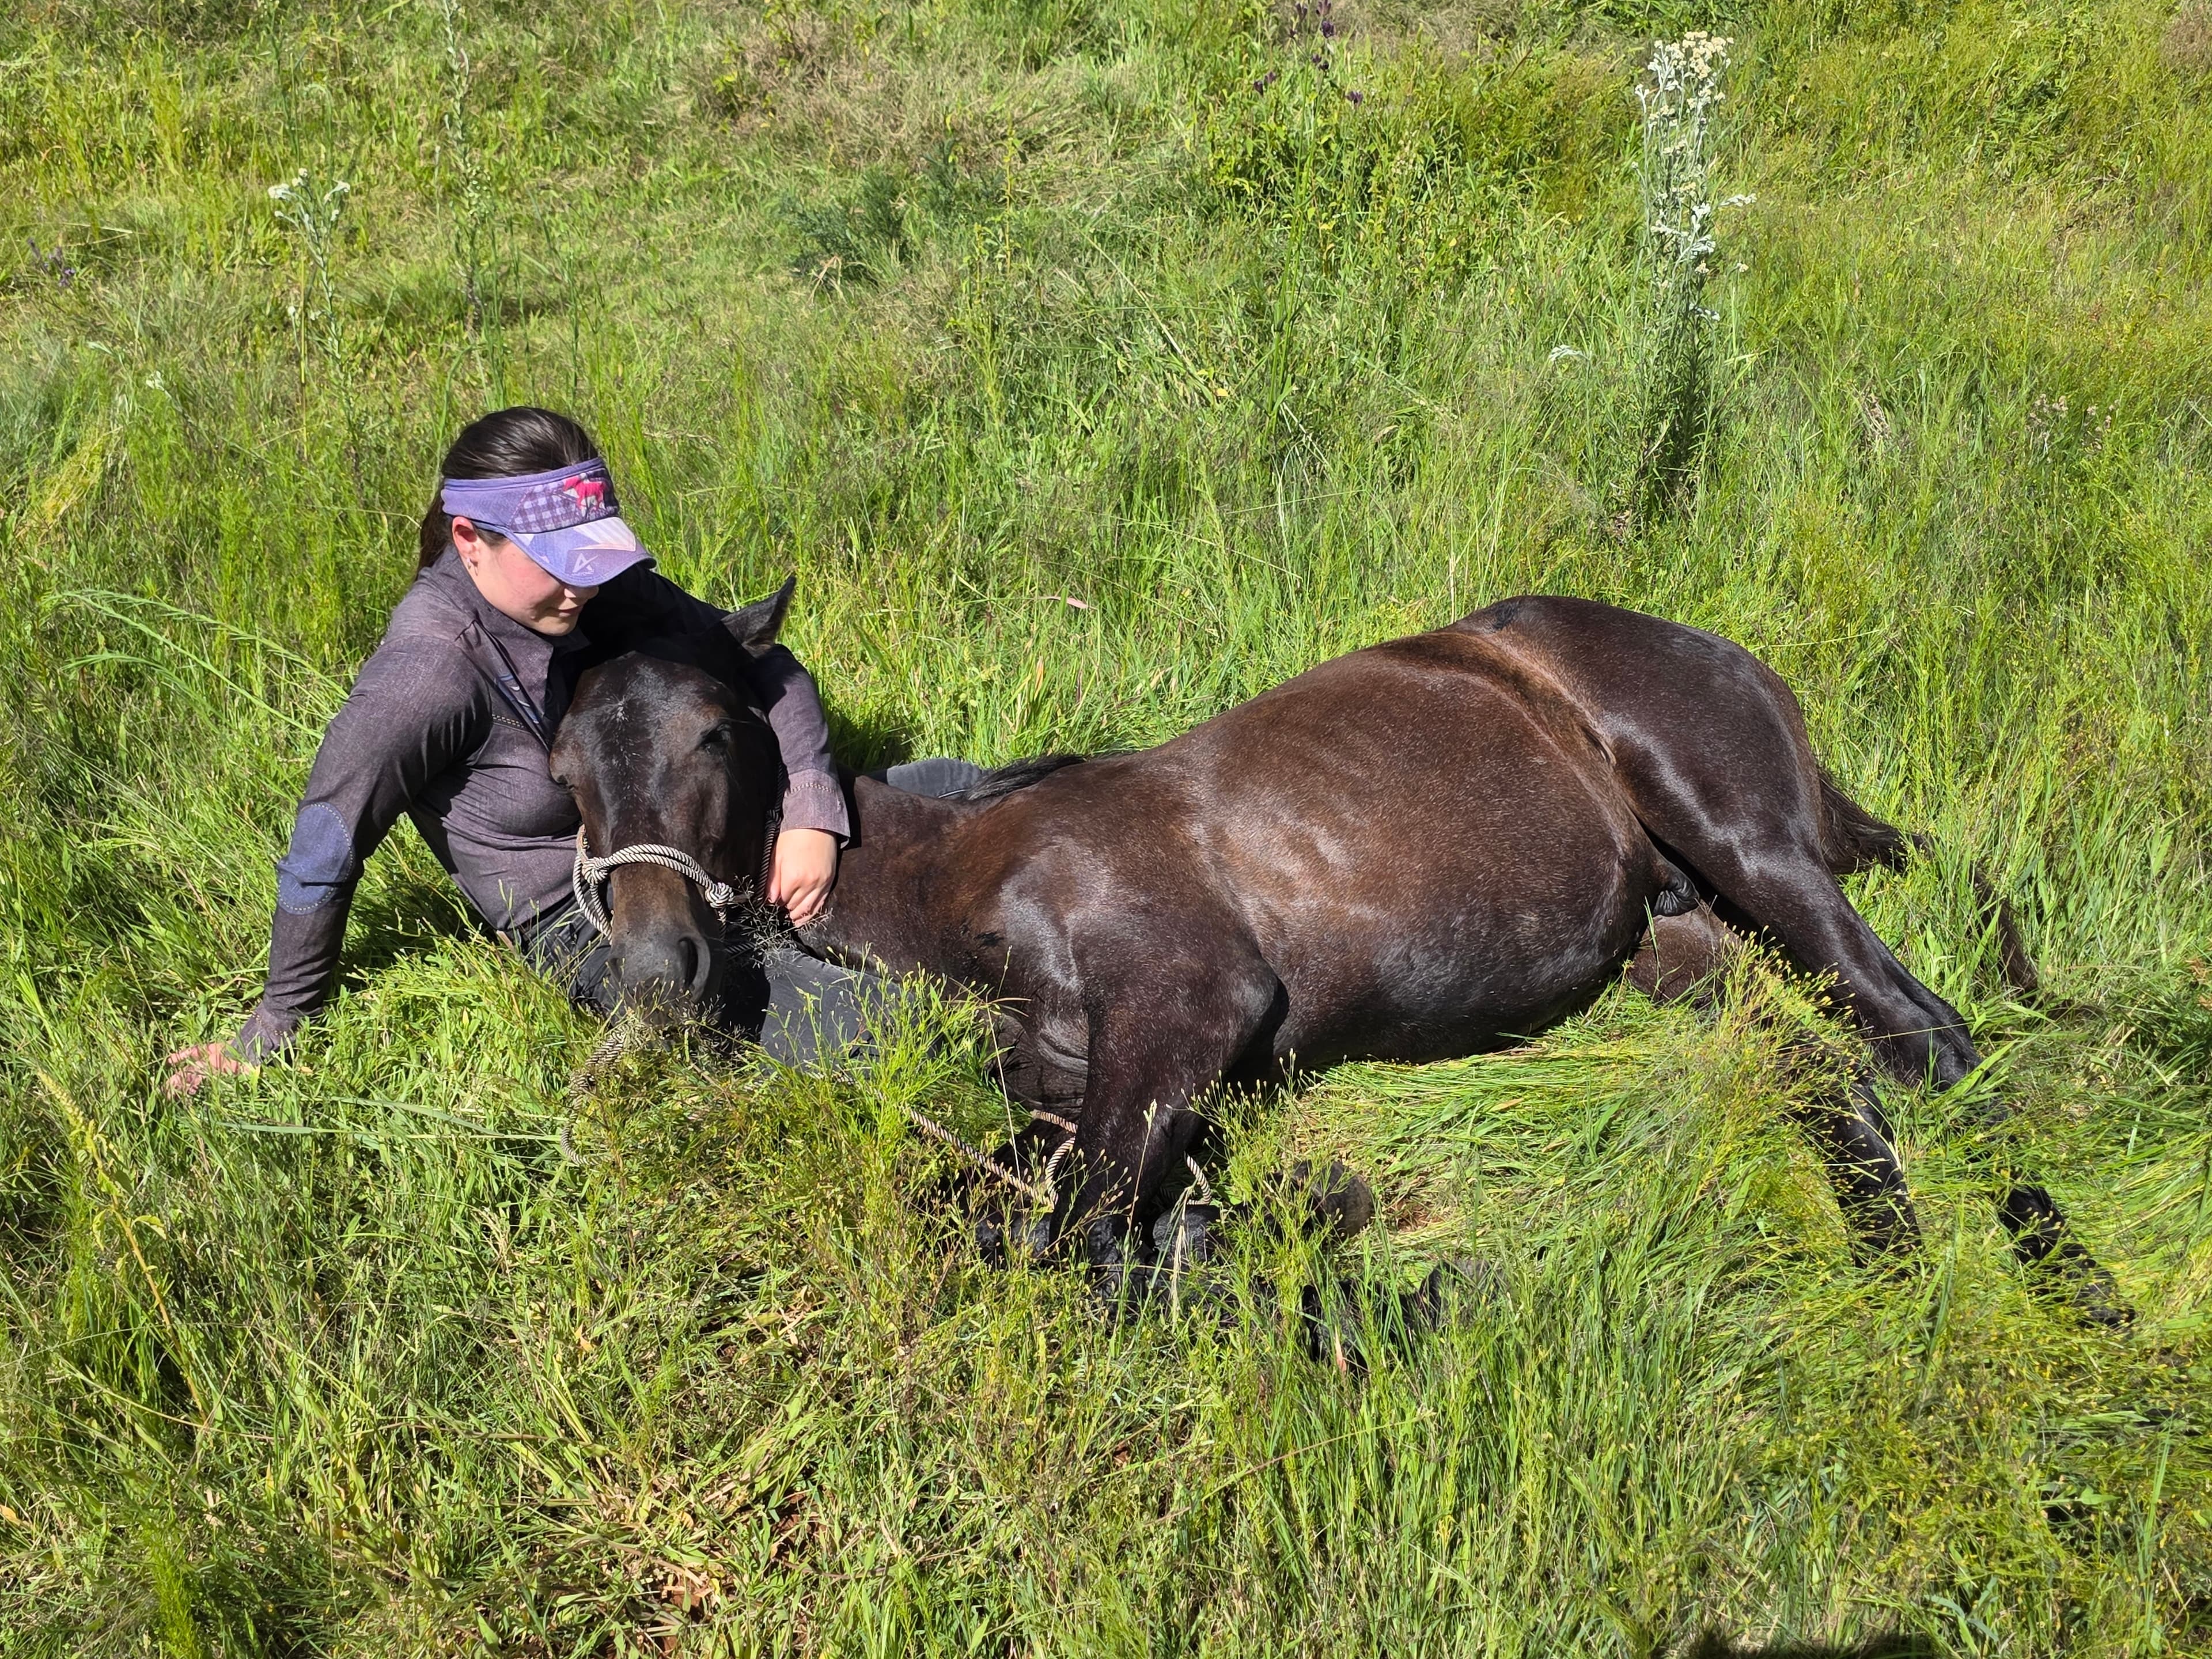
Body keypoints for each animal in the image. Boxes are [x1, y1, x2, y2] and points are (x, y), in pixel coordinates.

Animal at [547, 583, 2123, 1323]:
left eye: (713, 731)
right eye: (564, 763)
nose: (656, 970)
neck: (972, 875)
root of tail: (1732, 657)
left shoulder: (1185, 1008)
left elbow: (1078, 1243)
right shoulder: (1078, 1096)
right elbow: (1026, 1218)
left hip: (1753, 848)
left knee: (1928, 1039)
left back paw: (2074, 1303)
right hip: (1681, 944)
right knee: (1824, 1071)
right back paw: (1890, 1264)